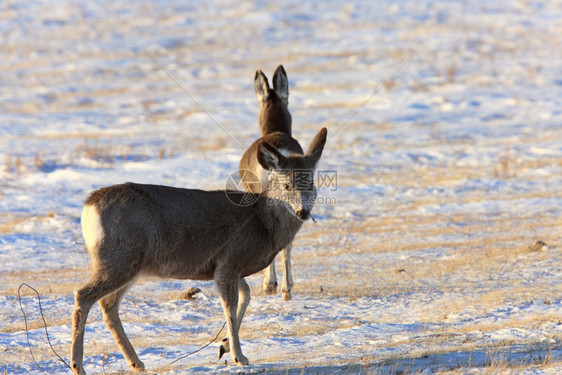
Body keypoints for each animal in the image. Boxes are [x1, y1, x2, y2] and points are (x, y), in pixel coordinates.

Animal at [70, 128, 326, 374]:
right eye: (287, 185)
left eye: (312, 184)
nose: (303, 212)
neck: (262, 223)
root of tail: (88, 207)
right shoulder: (230, 260)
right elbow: (230, 307)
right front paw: (239, 356)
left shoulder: (226, 267)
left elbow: (246, 296)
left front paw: (224, 345)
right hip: (119, 256)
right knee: (83, 295)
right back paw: (78, 365)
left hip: (130, 264)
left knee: (108, 304)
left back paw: (136, 362)